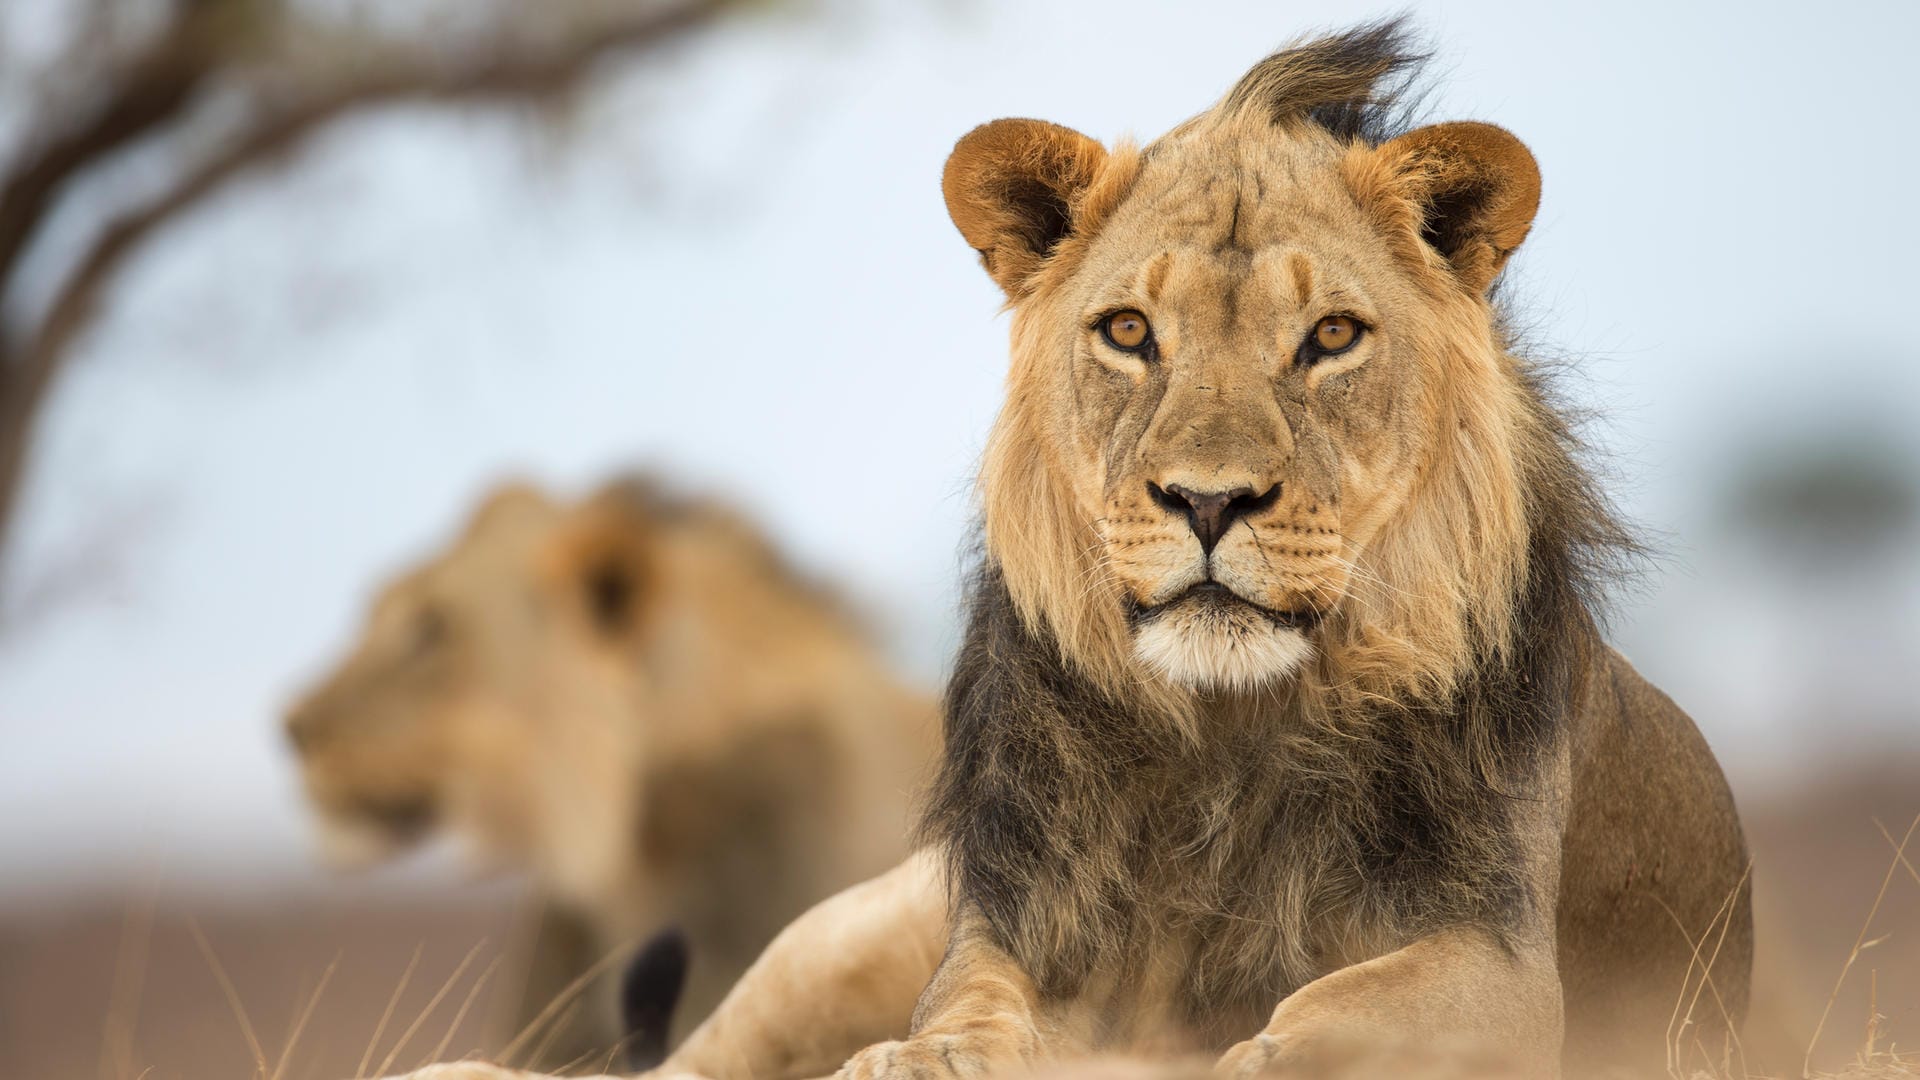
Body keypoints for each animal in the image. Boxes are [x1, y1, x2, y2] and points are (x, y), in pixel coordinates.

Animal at [374, 14, 1758, 1076]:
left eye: (1331, 338)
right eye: (1131, 332)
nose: (1208, 501)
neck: (1229, 738)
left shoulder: (1509, 965)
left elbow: (1345, 1008)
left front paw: (1254, 1054)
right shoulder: (1010, 923)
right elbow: (969, 1008)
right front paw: (926, 1057)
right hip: (850, 925)